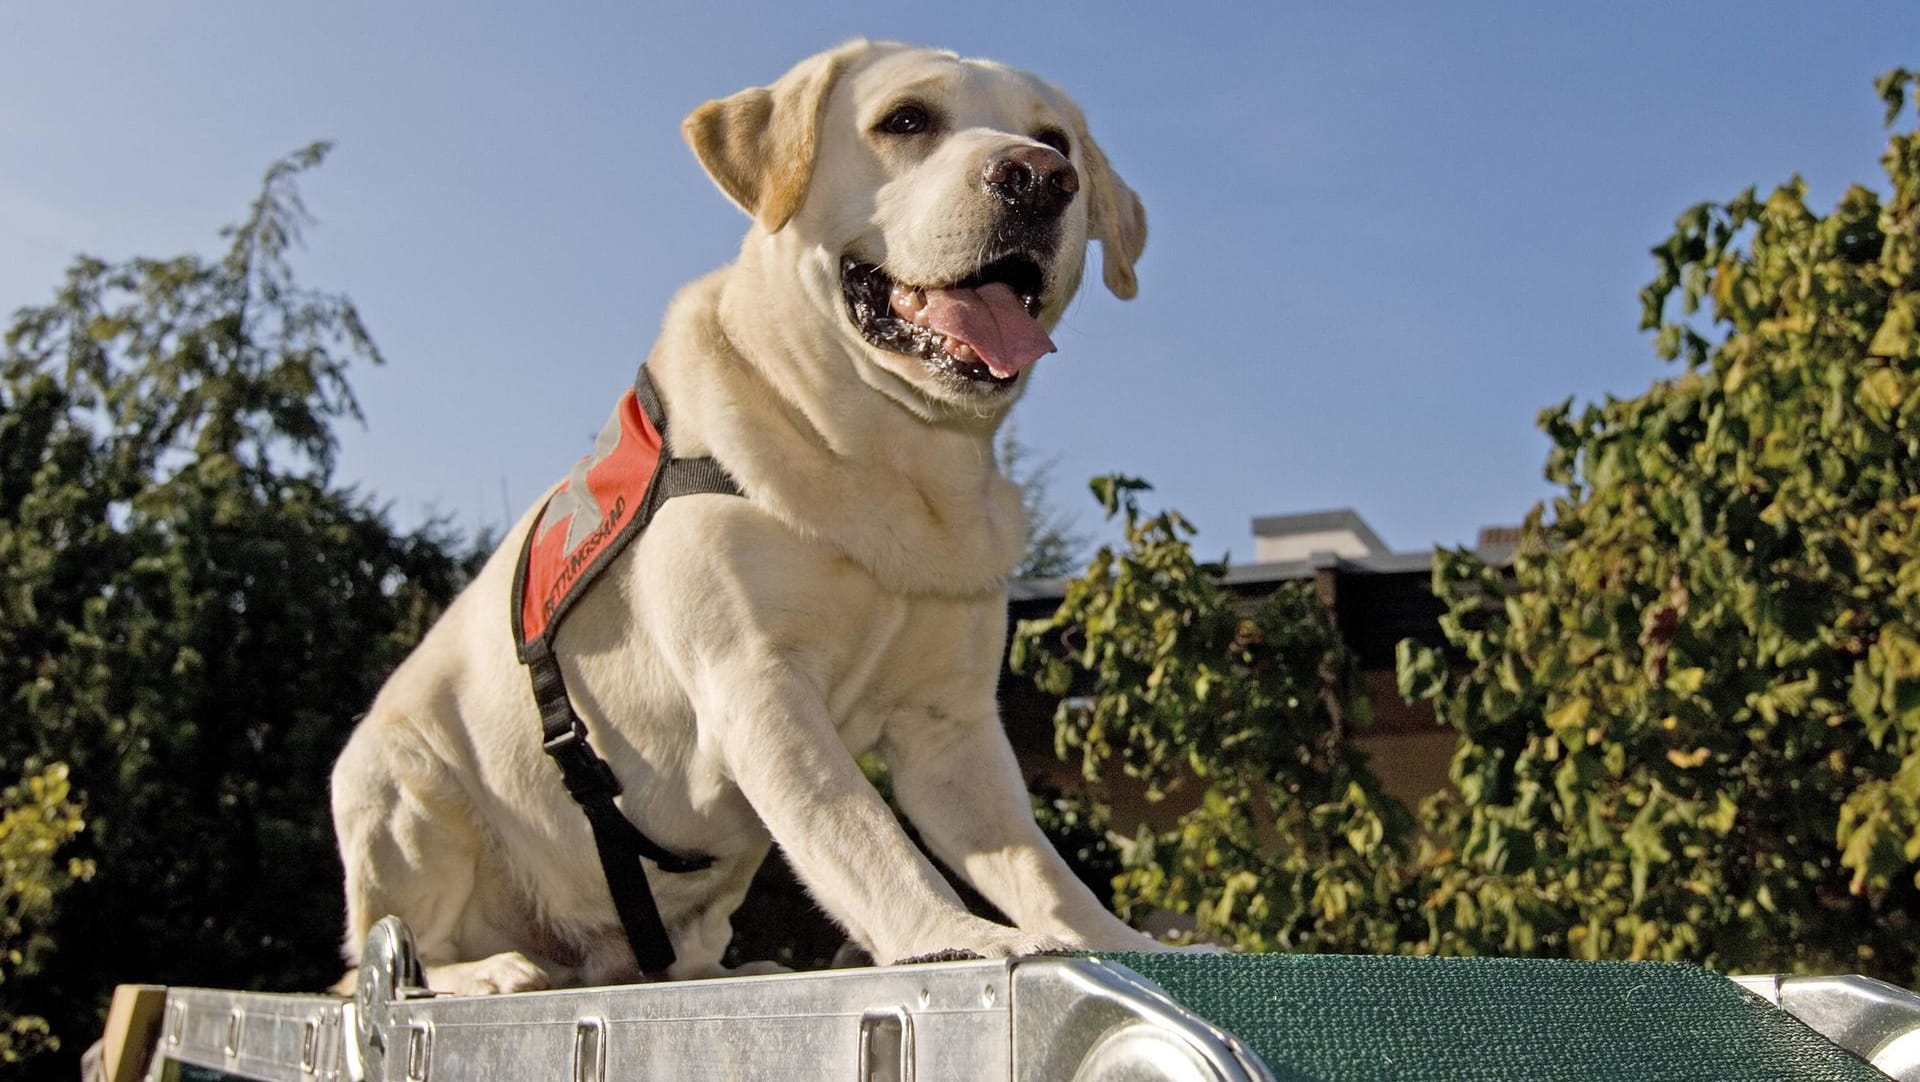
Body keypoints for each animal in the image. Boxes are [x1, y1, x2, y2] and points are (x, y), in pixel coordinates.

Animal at [326, 40, 1152, 989]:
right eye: (906, 119)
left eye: (1056, 140)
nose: (1040, 177)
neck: (890, 464)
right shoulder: (758, 682)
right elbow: (862, 830)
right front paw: (956, 935)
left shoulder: (949, 727)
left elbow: (1035, 863)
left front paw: (1117, 939)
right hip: (400, 791)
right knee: (385, 955)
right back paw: (491, 970)